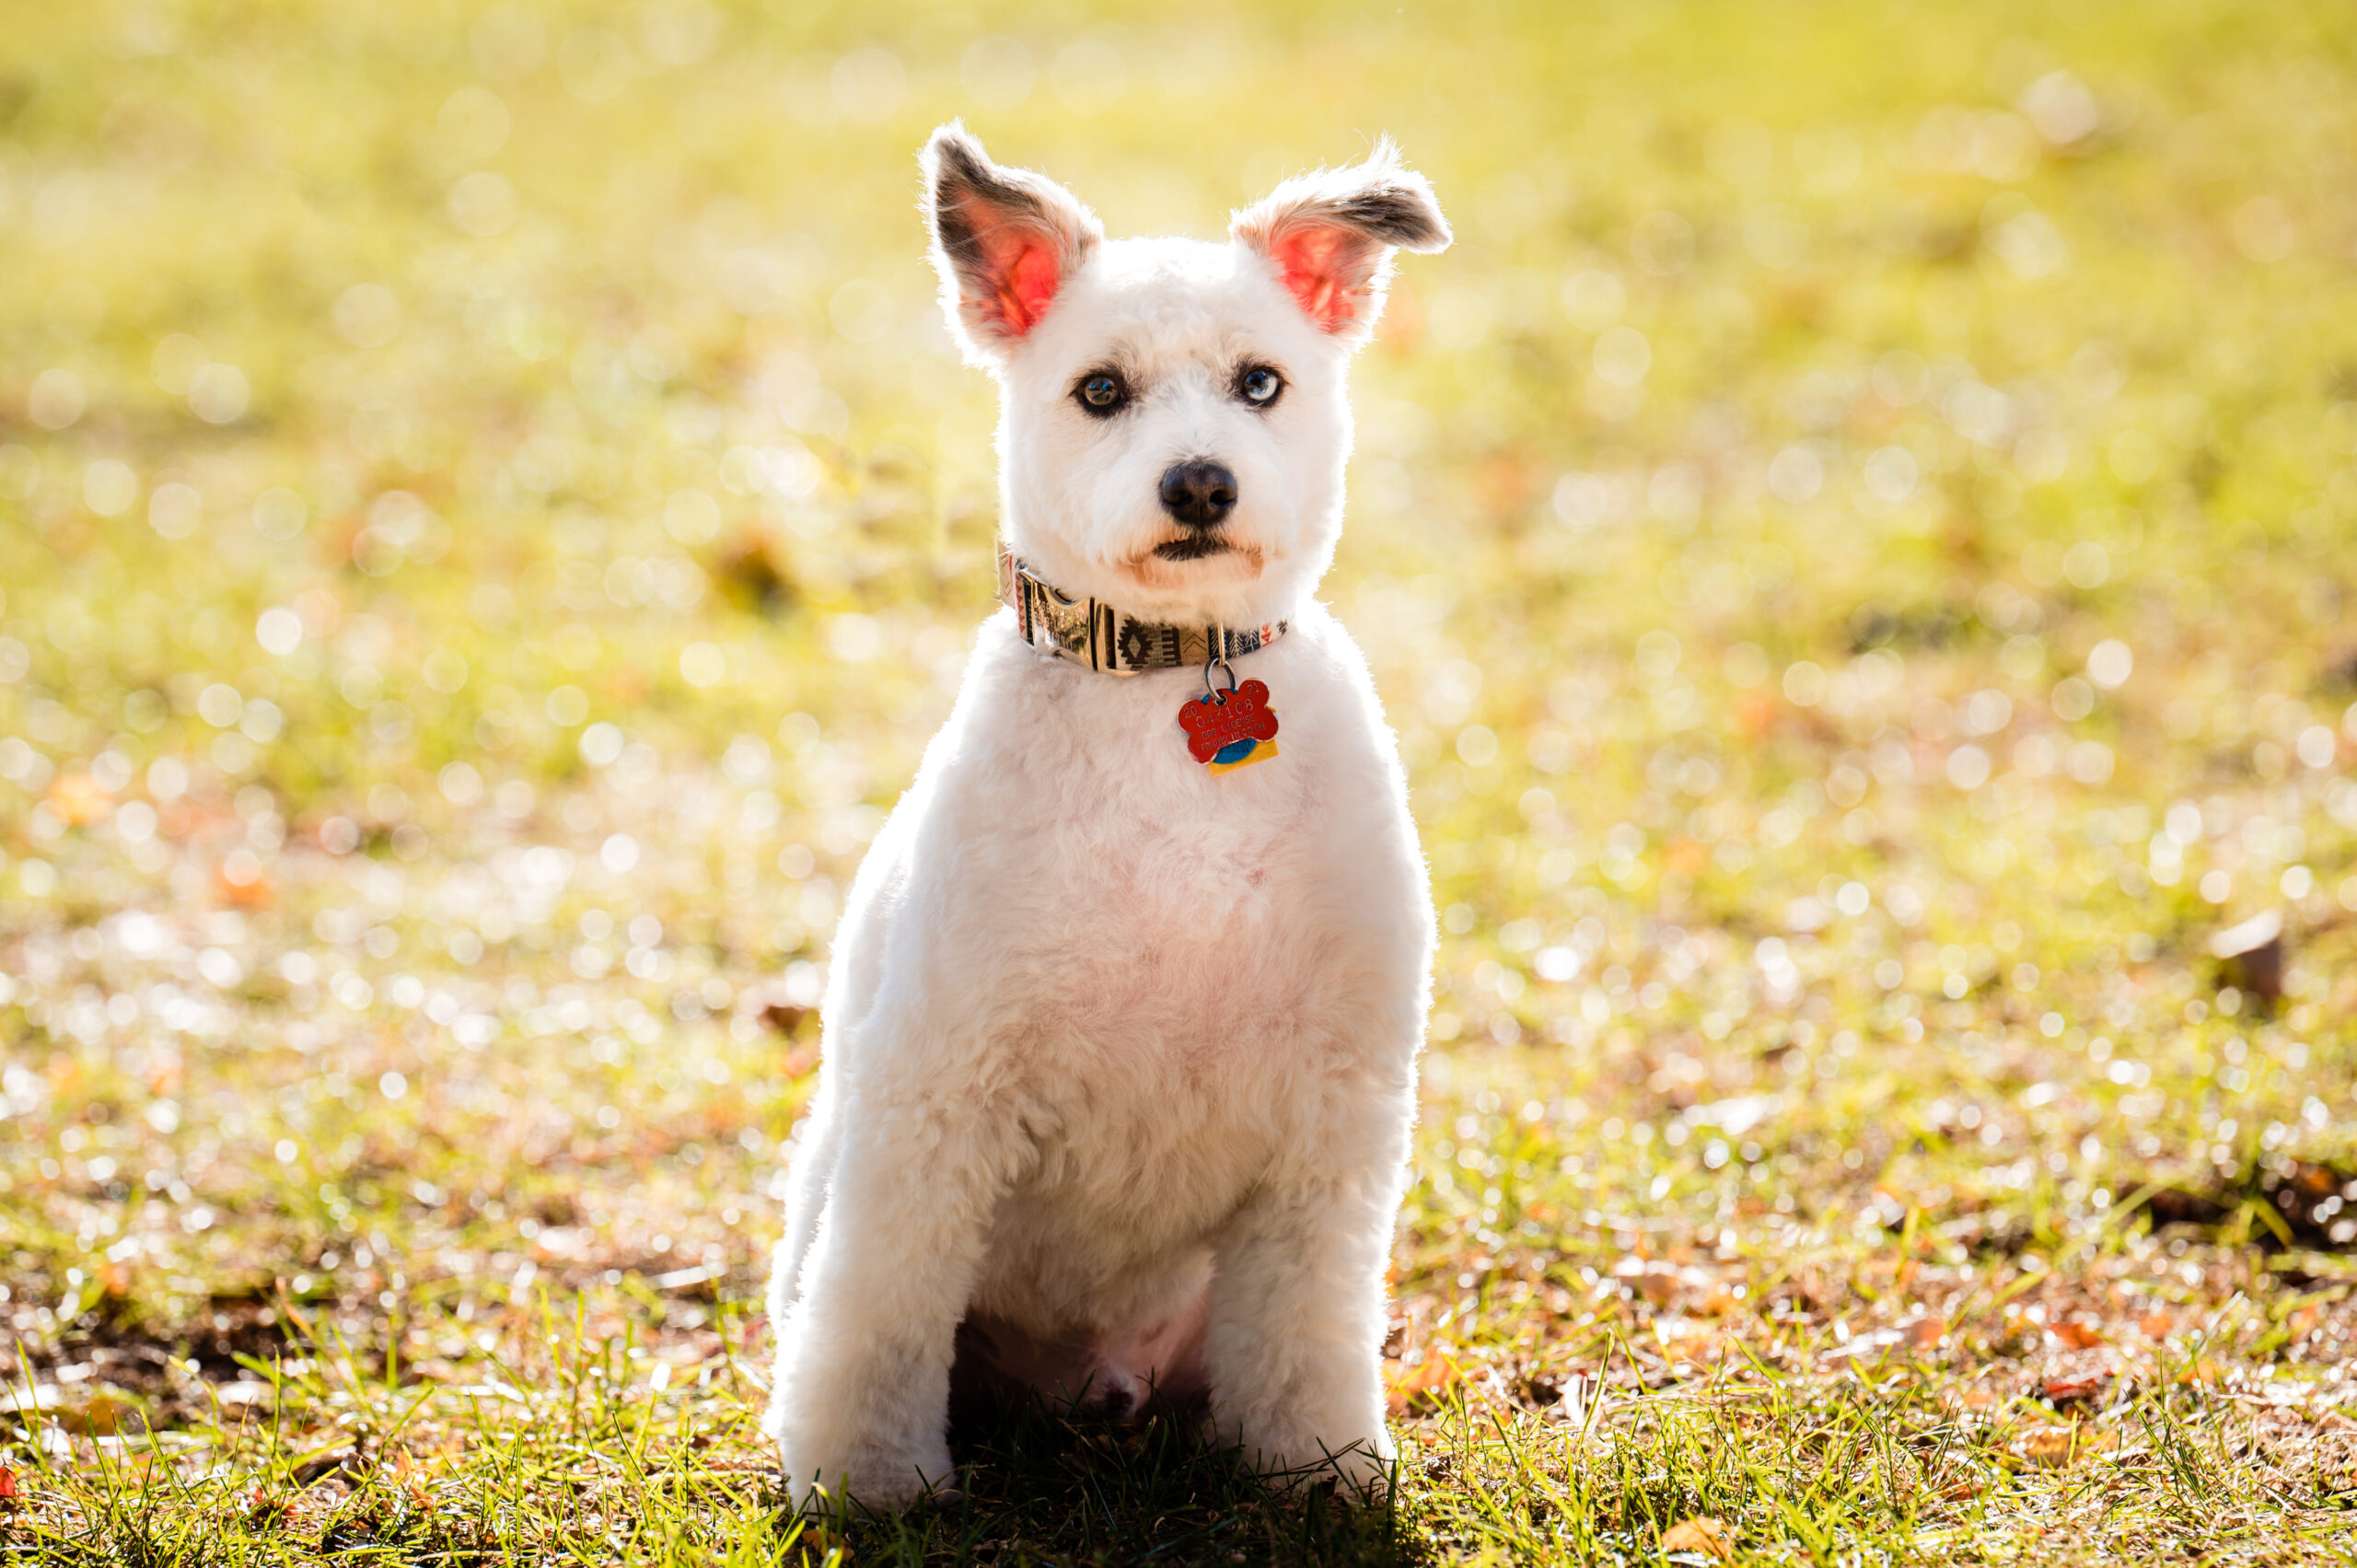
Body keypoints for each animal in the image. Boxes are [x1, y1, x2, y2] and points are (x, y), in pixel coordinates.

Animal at [763, 128, 1442, 1508]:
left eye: (1259, 381)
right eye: (1098, 391)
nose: (1200, 482)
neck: (1170, 685)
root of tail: (1091, 1388)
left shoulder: (1332, 1112)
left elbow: (1307, 1324)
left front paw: (1317, 1464)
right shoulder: (939, 1084)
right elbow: (879, 1310)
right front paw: (870, 1478)